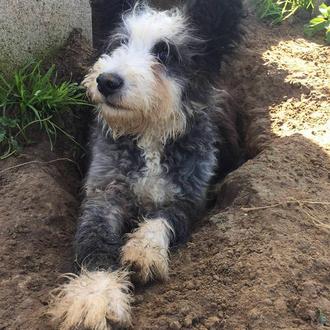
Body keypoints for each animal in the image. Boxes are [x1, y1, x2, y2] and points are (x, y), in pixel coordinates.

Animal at [51, 1, 242, 328]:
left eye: (164, 53)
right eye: (119, 43)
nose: (107, 81)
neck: (148, 133)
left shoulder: (190, 199)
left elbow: (161, 219)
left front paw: (144, 250)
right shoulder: (103, 193)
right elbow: (94, 239)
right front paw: (94, 293)